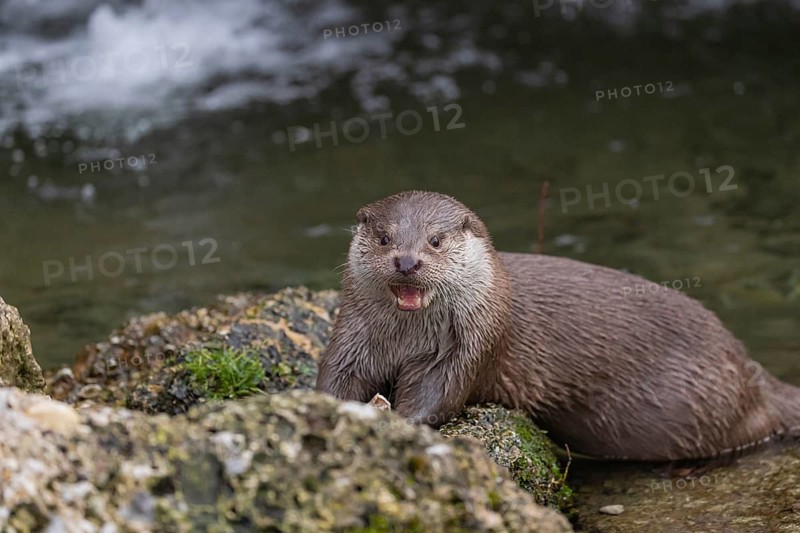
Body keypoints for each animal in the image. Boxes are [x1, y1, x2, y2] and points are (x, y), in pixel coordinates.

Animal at [316, 190, 800, 461]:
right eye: (385, 238)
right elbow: (336, 375)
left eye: (435, 240)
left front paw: (400, 419)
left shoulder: (468, 346)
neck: (406, 341)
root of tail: (751, 372)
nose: (407, 261)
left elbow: (439, 395)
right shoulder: (354, 334)